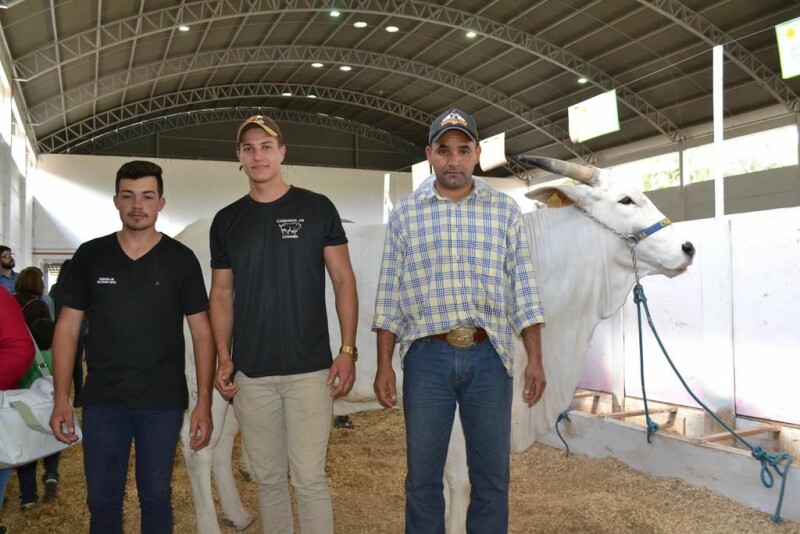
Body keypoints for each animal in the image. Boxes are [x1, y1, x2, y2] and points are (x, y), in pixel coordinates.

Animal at [177, 158, 692, 534]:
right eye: (626, 199)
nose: (688, 246)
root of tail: (190, 234)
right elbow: (458, 481)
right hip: (202, 380)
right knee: (198, 449)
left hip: (234, 383)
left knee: (221, 447)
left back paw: (239, 515)